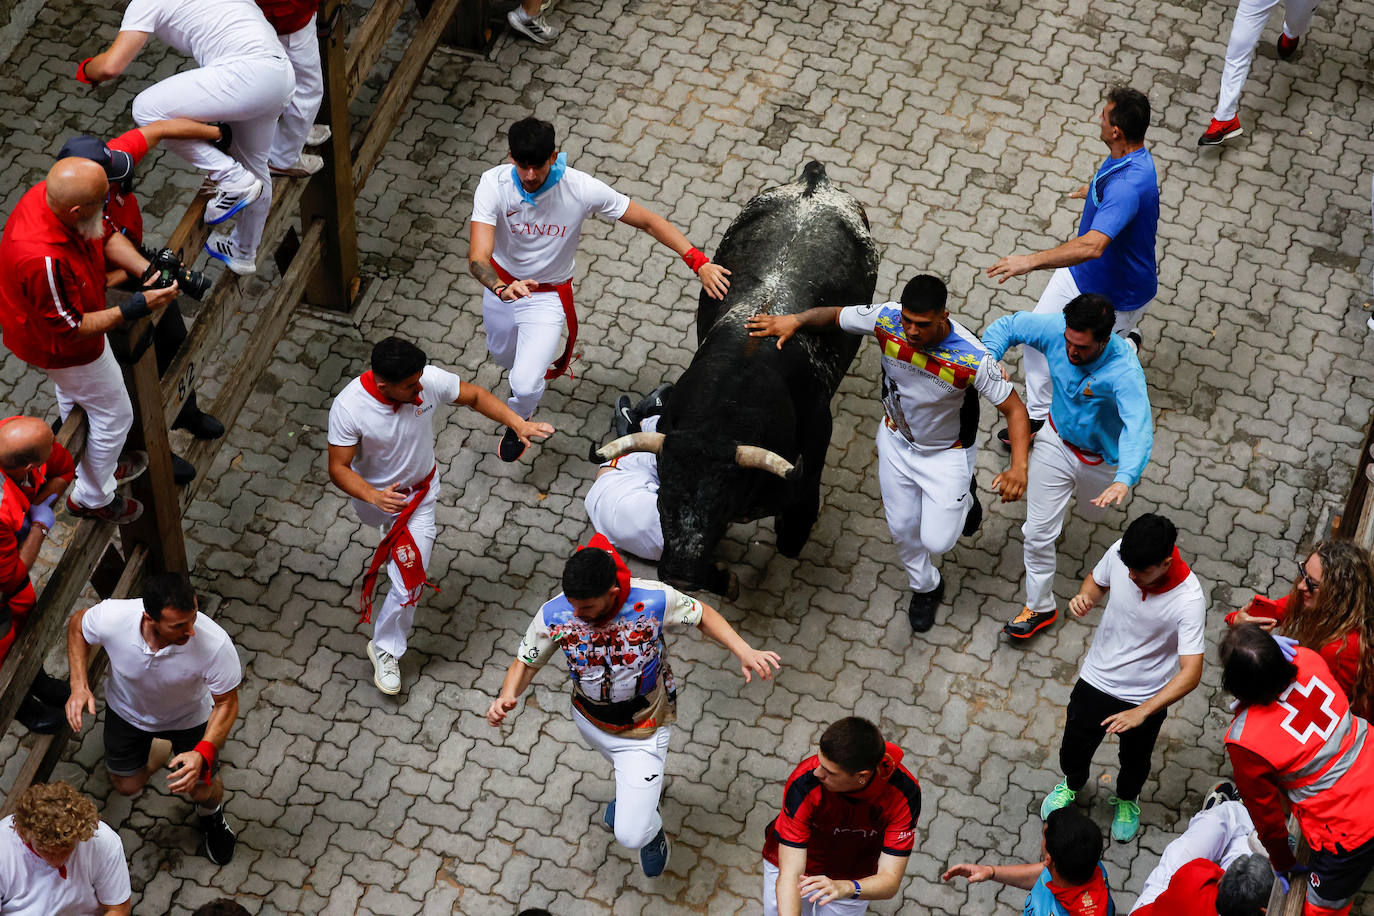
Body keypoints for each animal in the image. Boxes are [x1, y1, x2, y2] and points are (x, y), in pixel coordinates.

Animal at [596, 162, 873, 598]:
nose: (680, 575)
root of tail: (813, 180)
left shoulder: (809, 460)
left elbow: (793, 529)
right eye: (662, 499)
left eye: (722, 506)